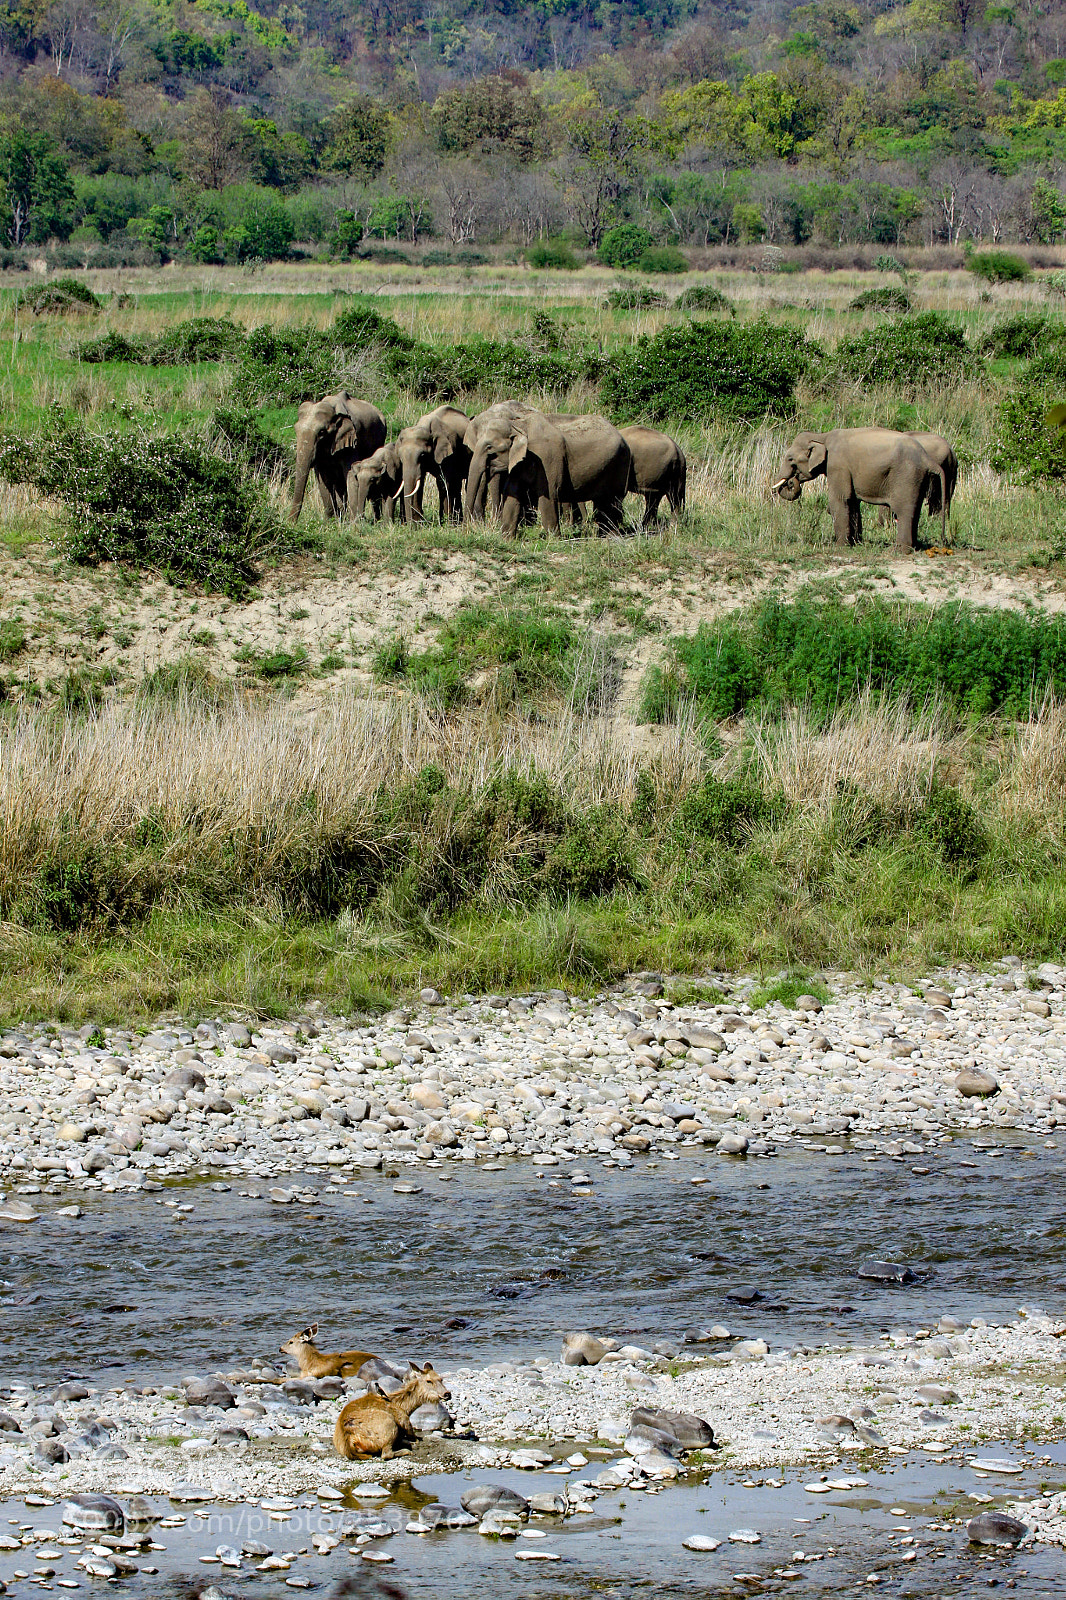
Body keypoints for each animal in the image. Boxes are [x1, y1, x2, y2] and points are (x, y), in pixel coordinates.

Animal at [290, 392, 387, 523]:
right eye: (296, 430)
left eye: (321, 432)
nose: (290, 523)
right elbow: (323, 480)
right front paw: (330, 521)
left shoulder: (351, 442)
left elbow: (350, 475)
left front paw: (354, 522)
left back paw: (376, 520)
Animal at [465, 403, 631, 536]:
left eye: (490, 450)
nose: (468, 528)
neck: (519, 425)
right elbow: (513, 494)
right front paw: (506, 538)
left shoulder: (547, 457)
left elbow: (548, 495)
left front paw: (554, 539)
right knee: (603, 503)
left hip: (620, 464)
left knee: (612, 502)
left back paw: (612, 537)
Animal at [772, 427, 947, 551]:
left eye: (790, 459)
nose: (791, 482)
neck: (823, 436)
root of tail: (927, 459)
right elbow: (853, 502)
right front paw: (856, 543)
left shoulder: (837, 465)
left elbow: (840, 500)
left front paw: (840, 547)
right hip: (919, 478)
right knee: (915, 510)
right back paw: (913, 547)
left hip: (907, 475)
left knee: (904, 510)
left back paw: (900, 550)